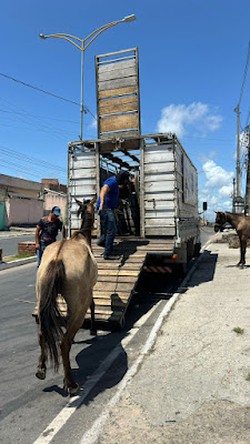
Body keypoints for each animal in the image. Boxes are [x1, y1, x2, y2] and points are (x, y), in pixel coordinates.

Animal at [35, 198, 97, 396]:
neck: (82, 237)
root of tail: (57, 258)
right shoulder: (89, 288)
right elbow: (93, 304)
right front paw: (93, 330)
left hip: (41, 295)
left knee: (42, 333)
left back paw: (41, 369)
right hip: (78, 303)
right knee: (64, 342)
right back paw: (71, 383)